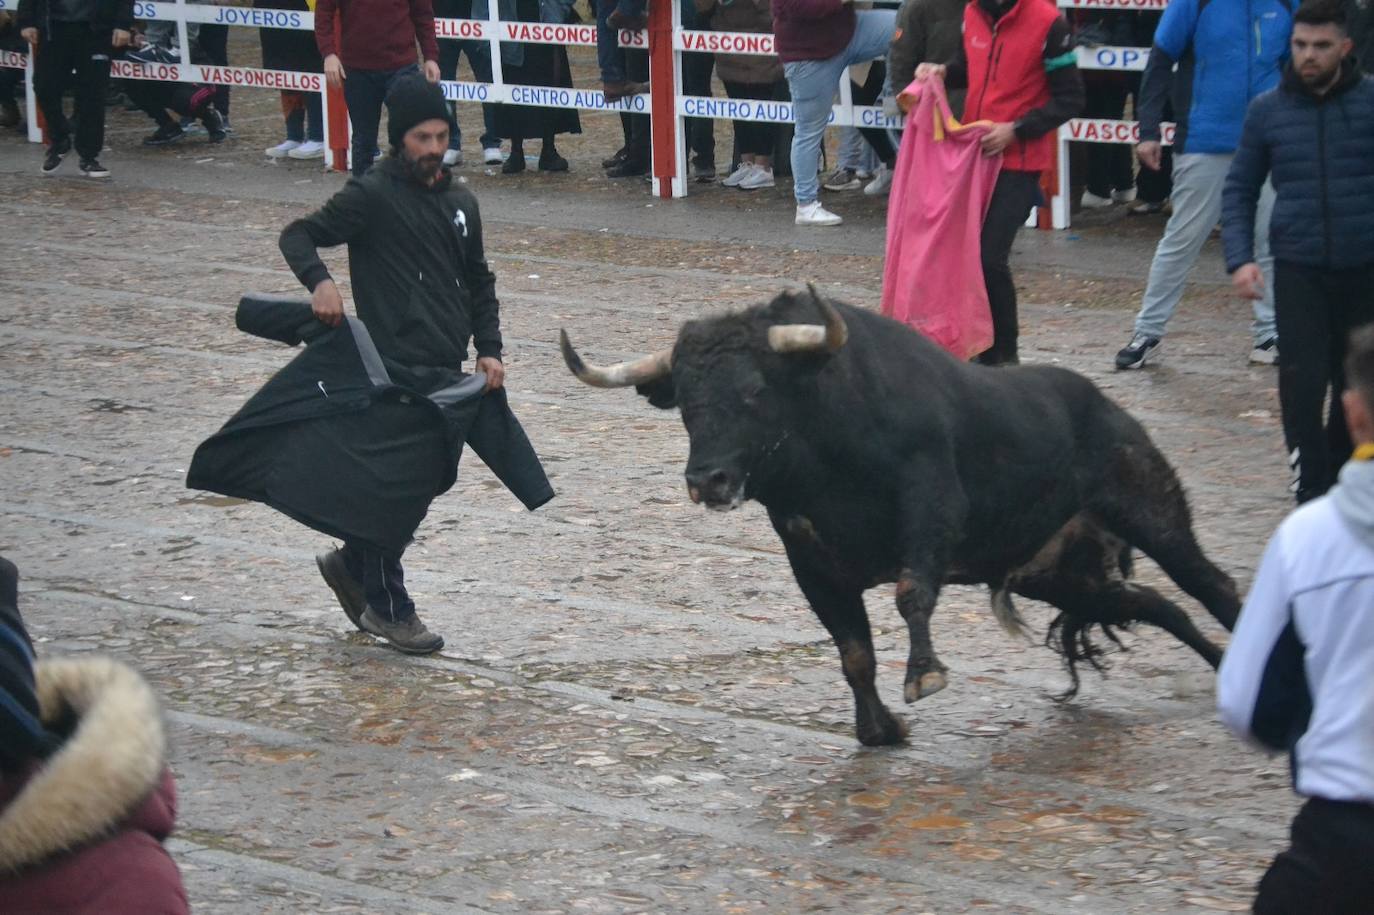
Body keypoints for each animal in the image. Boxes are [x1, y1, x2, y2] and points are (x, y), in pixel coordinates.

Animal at [563, 288, 1242, 747]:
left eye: (755, 389)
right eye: (684, 399)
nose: (708, 481)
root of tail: (1109, 409)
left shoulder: (932, 512)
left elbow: (912, 593)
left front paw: (924, 676)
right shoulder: (813, 564)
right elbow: (853, 650)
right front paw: (878, 728)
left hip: (1153, 511)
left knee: (1212, 585)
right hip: (1059, 575)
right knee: (1157, 605)